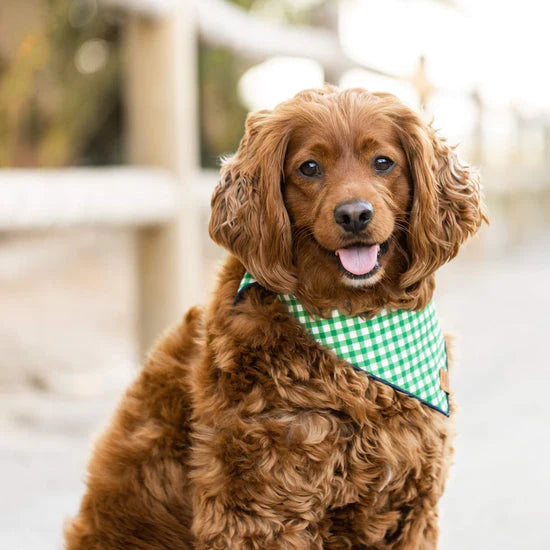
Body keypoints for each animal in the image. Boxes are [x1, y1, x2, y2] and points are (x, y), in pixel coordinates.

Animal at [63, 88, 488, 548]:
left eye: (383, 162)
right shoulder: (260, 507)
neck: (354, 322)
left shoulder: (412, 505)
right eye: (309, 167)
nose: (354, 215)